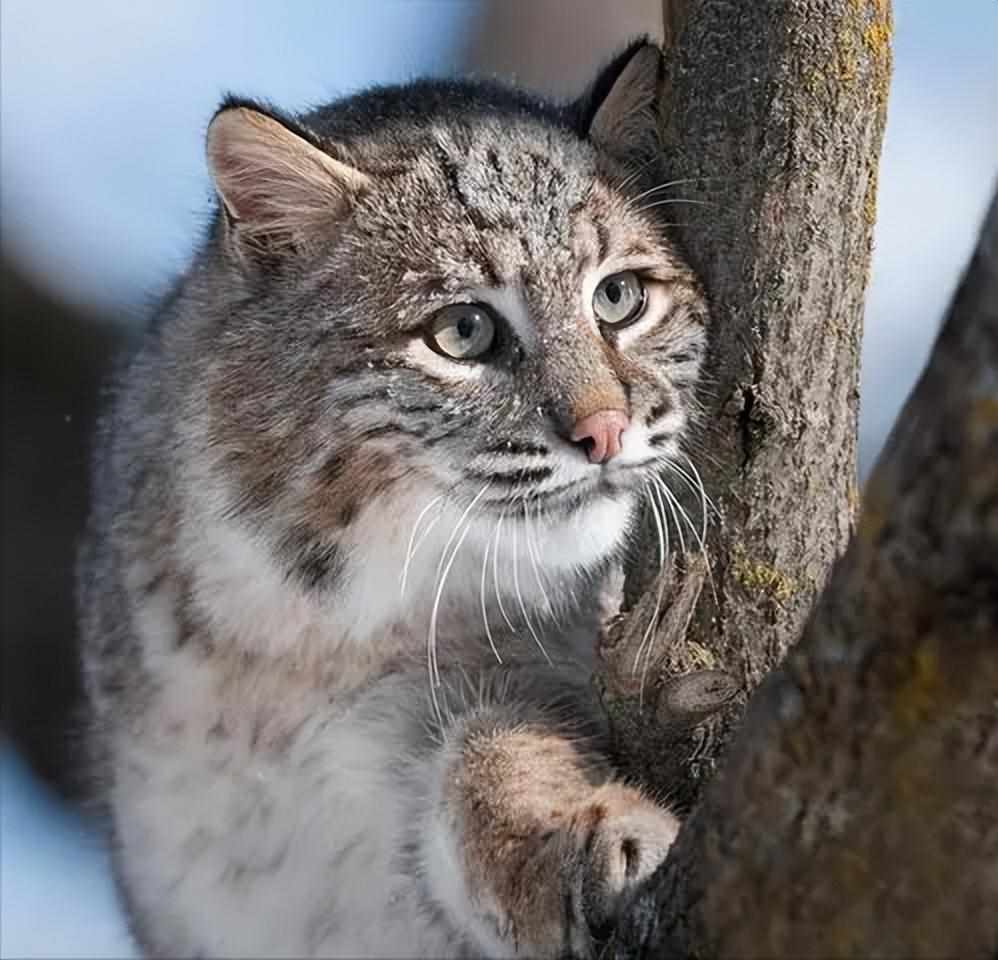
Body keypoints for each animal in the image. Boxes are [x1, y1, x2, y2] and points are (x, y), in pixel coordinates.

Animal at [78, 39, 708, 960]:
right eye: (463, 332)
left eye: (618, 298)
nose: (604, 431)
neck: (313, 635)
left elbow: (496, 736)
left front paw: (578, 828)